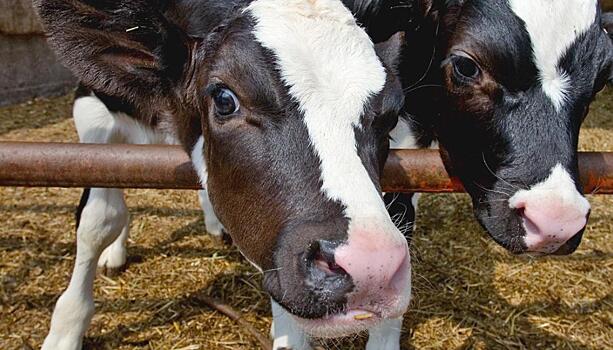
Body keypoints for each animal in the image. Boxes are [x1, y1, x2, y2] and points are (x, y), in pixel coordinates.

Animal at [34, 0, 412, 348]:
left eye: (391, 116)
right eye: (224, 99)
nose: (371, 266)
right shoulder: (91, 104)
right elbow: (99, 216)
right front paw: (66, 329)